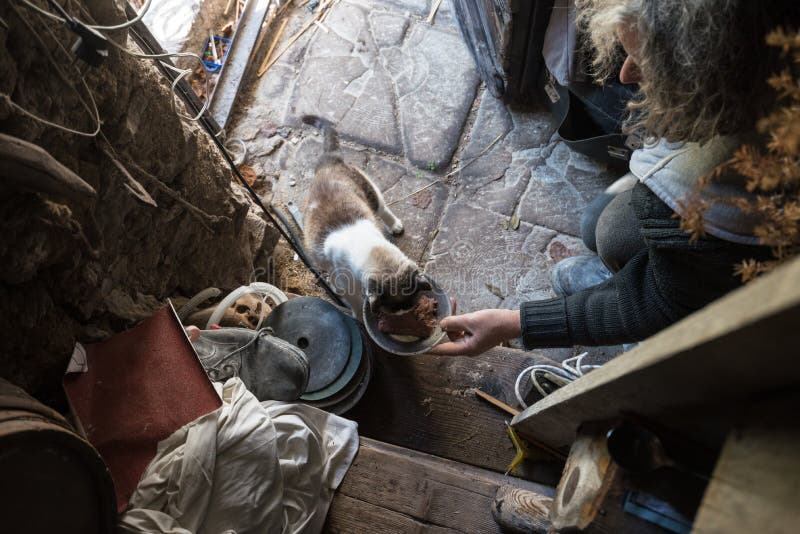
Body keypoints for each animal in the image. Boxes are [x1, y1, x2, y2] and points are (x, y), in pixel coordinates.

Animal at [300, 116, 428, 318]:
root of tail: (328, 163)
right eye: (393, 308)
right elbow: (357, 304)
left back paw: (395, 225)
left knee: (383, 208)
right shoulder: (346, 287)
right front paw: (360, 319)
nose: (402, 314)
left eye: (410, 304)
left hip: (370, 191)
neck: (367, 246)